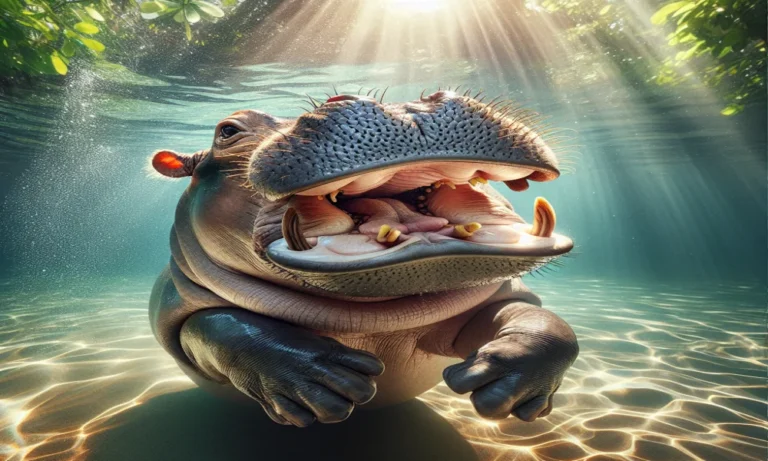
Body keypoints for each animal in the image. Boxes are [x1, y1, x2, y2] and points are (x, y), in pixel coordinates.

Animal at [149, 90, 578, 427]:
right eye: (228, 130)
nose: (406, 106)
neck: (370, 321)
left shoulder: (492, 301)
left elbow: (547, 326)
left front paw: (499, 382)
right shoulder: (176, 307)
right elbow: (219, 326)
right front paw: (326, 378)